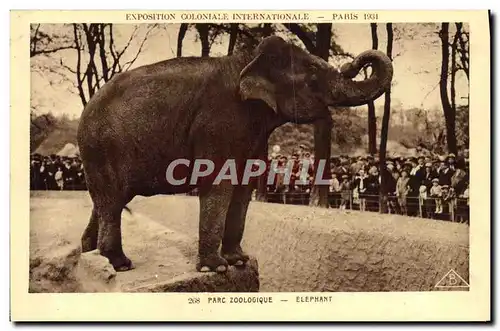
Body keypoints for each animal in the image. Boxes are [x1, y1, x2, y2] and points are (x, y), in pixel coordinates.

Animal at [76, 35, 392, 274]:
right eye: (313, 73)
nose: (354, 62)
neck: (247, 59)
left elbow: (244, 186)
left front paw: (238, 261)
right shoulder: (219, 122)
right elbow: (218, 183)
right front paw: (215, 268)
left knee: (107, 202)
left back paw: (91, 254)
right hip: (102, 149)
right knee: (112, 201)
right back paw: (120, 264)